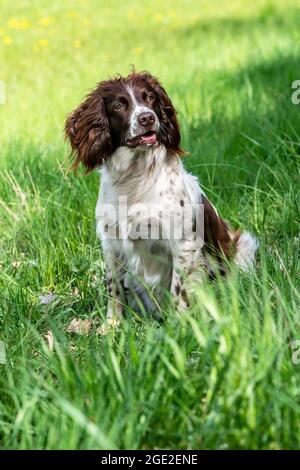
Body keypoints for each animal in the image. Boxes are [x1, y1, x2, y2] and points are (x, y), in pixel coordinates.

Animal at [64, 71, 256, 328]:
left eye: (150, 98)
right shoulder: (111, 242)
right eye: (118, 106)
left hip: (242, 246)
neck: (134, 177)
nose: (147, 118)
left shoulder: (182, 244)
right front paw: (112, 325)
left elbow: (178, 289)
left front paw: (180, 325)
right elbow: (113, 288)